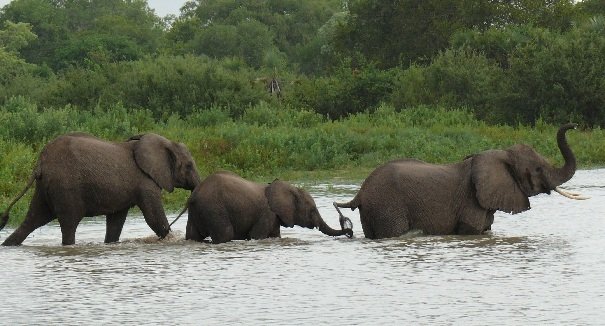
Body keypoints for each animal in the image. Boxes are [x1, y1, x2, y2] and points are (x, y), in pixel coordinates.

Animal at [0, 132, 203, 244]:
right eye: (189, 166)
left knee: (32, 220)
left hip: (45, 187)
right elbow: (154, 218)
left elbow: (115, 222)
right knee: (68, 225)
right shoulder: (145, 181)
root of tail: (40, 162)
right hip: (66, 187)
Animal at [184, 172, 354, 243]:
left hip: (197, 212)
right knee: (225, 234)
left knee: (193, 236)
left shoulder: (275, 217)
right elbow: (257, 236)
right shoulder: (267, 214)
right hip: (214, 209)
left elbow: (275, 236)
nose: (350, 232)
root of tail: (194, 194)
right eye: (312, 210)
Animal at [336, 123, 584, 239]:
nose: (575, 126)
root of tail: (361, 192)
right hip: (388, 207)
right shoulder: (470, 201)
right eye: (538, 169)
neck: (499, 154)